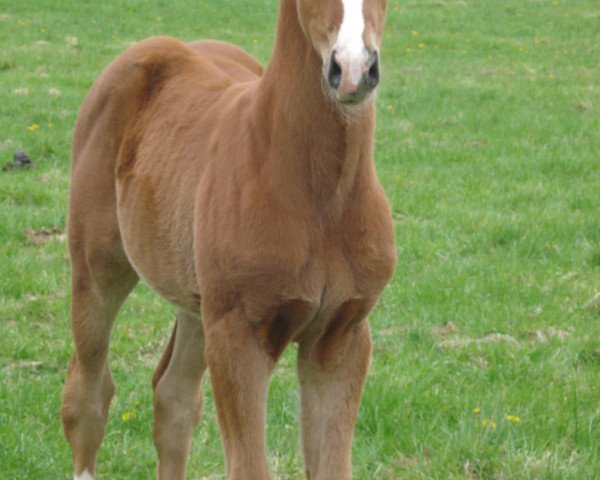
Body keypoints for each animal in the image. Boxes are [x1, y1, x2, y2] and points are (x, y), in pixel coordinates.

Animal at [61, 0, 396, 478]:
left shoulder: (341, 337)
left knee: (174, 399)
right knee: (87, 397)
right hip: (99, 272)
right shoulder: (239, 337)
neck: (322, 202)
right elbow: (249, 467)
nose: (352, 69)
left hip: (199, 303)